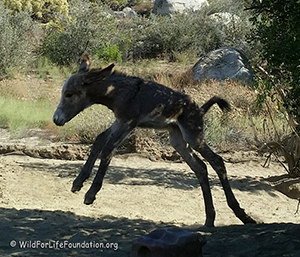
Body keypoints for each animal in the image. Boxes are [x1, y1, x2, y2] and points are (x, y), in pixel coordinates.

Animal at [52, 57, 254, 225]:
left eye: (69, 94)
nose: (56, 119)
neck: (118, 92)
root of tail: (199, 109)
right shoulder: (119, 121)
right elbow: (99, 141)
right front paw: (78, 182)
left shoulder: (128, 123)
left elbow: (109, 148)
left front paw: (91, 192)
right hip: (178, 141)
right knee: (201, 168)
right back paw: (210, 220)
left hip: (193, 136)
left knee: (217, 162)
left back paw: (241, 215)